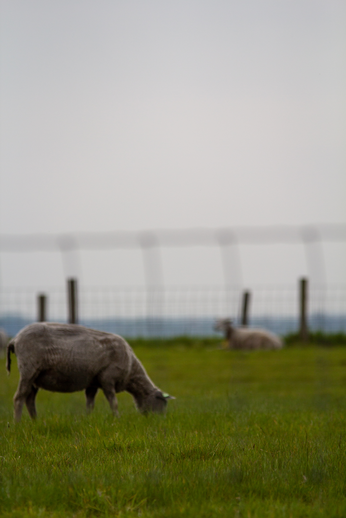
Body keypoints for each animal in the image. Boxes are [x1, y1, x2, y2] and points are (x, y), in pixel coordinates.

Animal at [7, 322, 176, 424]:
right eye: (163, 403)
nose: (160, 421)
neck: (131, 372)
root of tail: (15, 339)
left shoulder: (93, 382)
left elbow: (90, 403)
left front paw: (88, 419)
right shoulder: (107, 379)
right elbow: (113, 402)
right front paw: (117, 419)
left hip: (35, 377)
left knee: (29, 399)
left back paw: (36, 422)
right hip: (29, 370)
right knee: (18, 397)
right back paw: (17, 423)